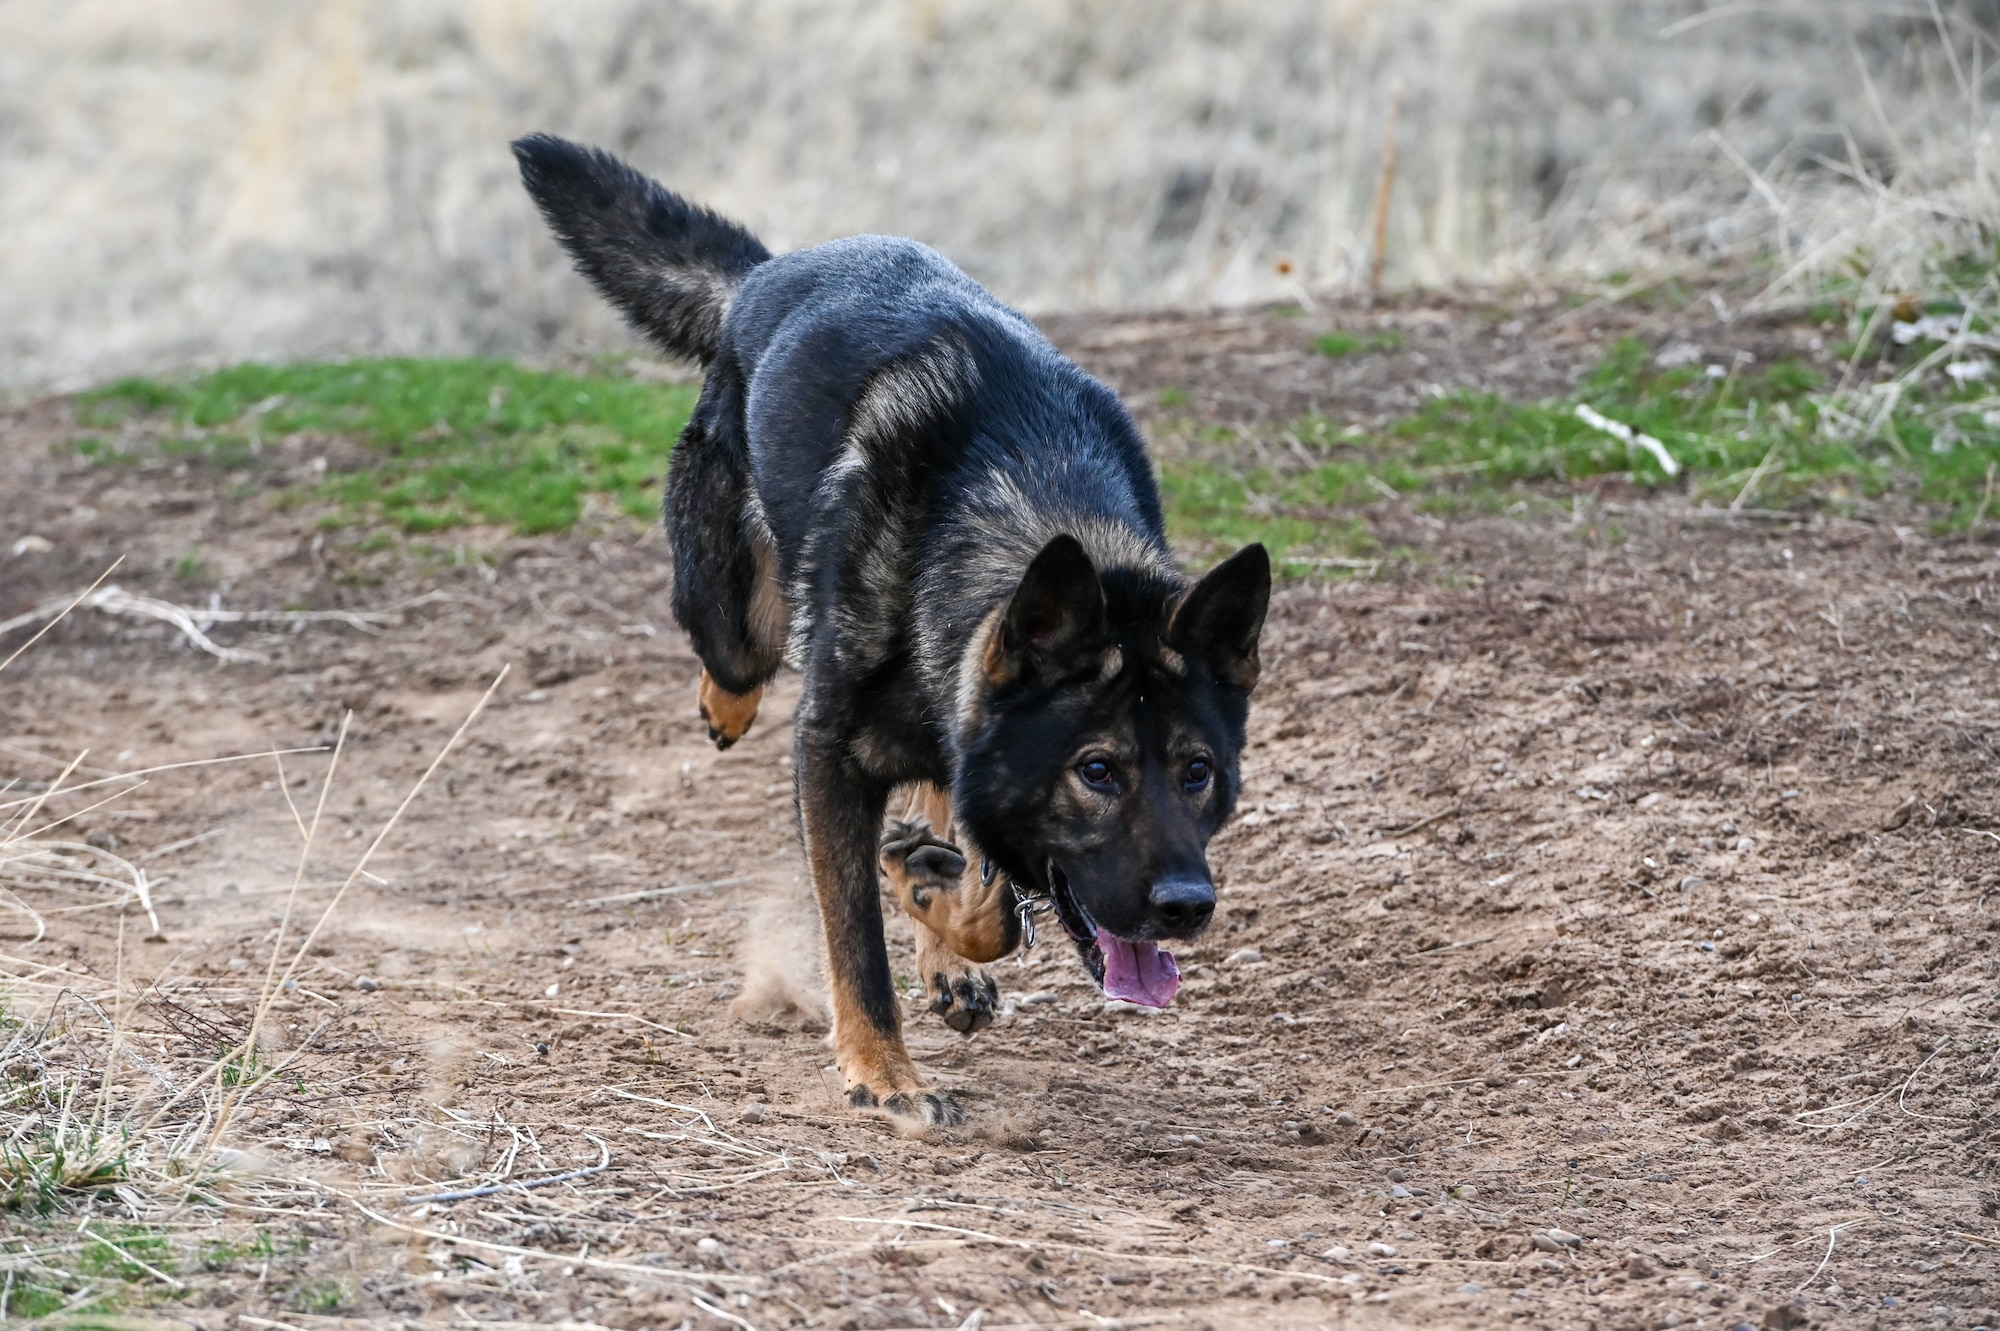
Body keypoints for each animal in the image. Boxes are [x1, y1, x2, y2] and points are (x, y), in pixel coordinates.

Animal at [512, 134, 1264, 1119]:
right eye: (1097, 770)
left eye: (1197, 771)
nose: (1186, 906)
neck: (1022, 494)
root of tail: (767, 274)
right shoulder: (829, 760)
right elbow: (855, 932)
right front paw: (883, 1069)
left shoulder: (970, 743)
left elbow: (989, 895)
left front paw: (935, 904)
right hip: (739, 615)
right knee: (737, 660)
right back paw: (732, 709)